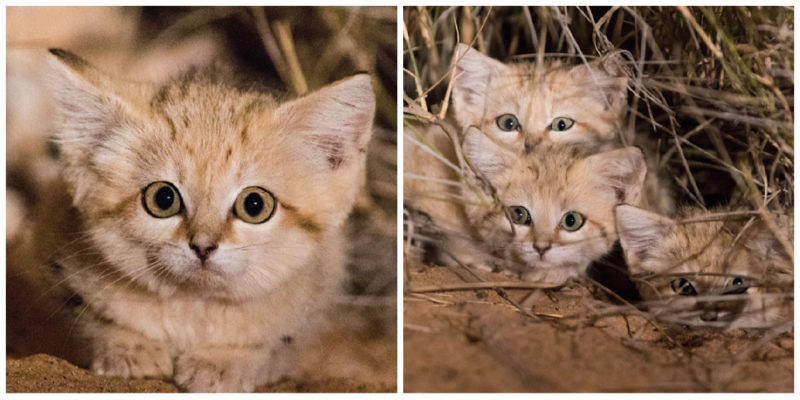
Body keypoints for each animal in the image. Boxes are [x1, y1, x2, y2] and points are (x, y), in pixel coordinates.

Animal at [7, 48, 376, 392]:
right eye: (163, 199)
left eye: (254, 205)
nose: (203, 247)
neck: (192, 307)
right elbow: (94, 320)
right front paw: (129, 348)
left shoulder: (315, 300)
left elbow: (270, 345)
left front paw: (224, 361)